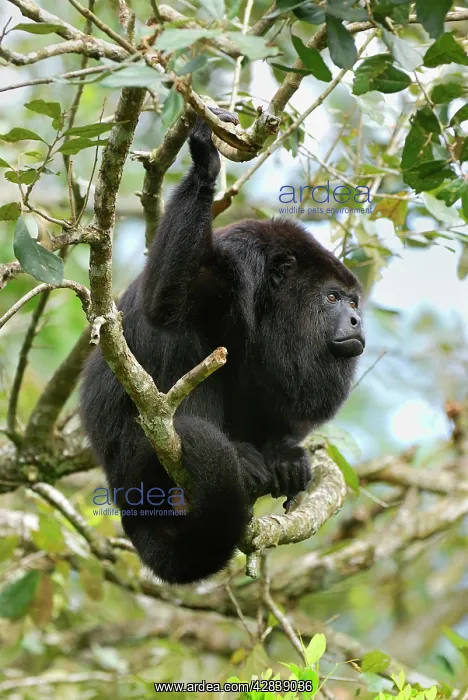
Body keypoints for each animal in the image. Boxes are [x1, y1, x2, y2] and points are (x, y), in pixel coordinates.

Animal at [80, 108, 365, 585]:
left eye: (353, 301)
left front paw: (284, 454)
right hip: (135, 456)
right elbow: (165, 305)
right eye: (331, 298)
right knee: (181, 339)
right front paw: (204, 160)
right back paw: (238, 459)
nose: (358, 320)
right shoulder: (235, 261)